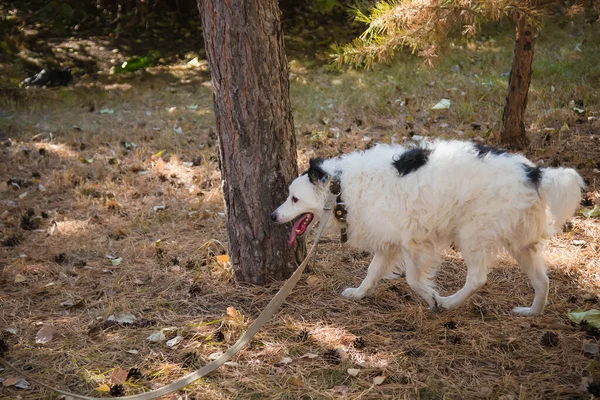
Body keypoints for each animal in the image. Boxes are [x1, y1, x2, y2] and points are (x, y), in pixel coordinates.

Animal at [274, 140, 584, 316]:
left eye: (294, 198)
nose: (273, 215)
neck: (340, 187)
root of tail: (533, 173)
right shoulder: (389, 244)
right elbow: (372, 273)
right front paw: (359, 293)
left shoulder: (413, 242)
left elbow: (413, 280)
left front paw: (432, 299)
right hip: (522, 244)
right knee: (542, 281)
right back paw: (532, 313)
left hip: (473, 235)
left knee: (478, 278)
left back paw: (449, 303)